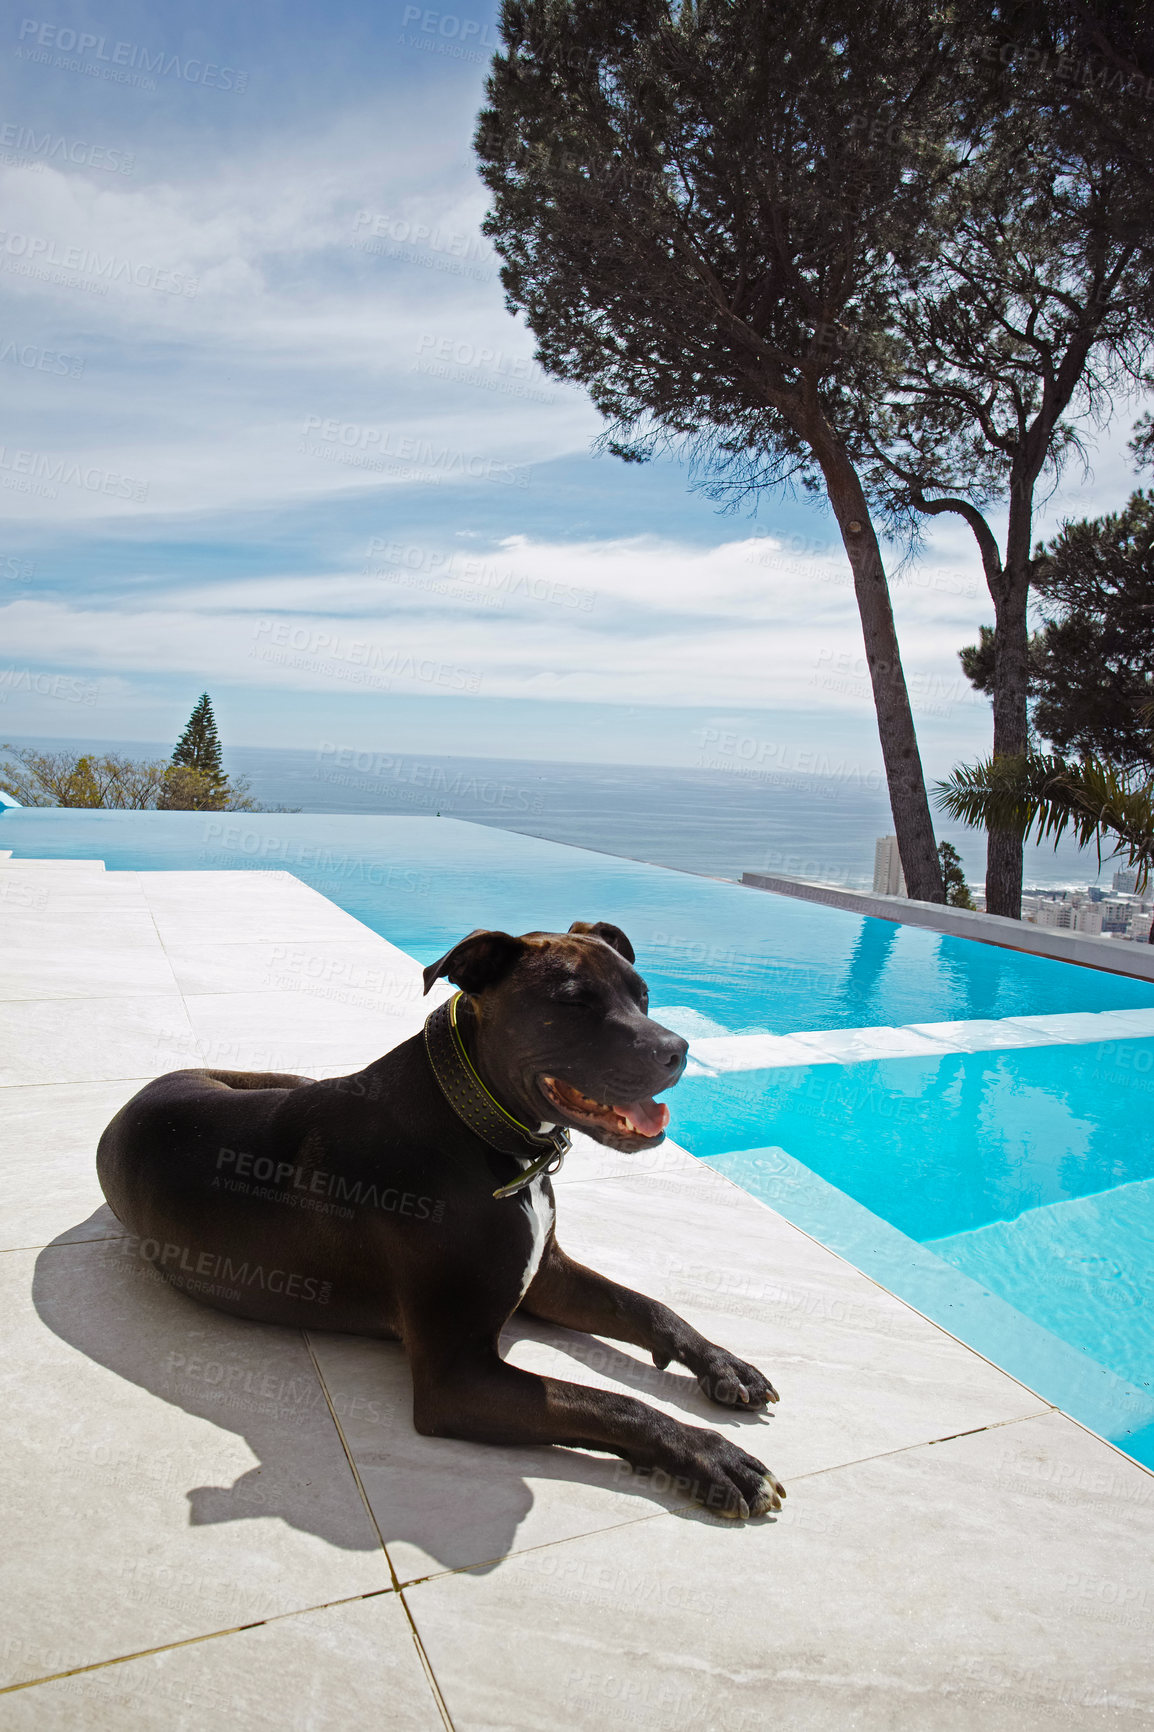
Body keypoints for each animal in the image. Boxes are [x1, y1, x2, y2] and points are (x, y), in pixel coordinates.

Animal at [98, 921, 783, 1517]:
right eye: (573, 1001)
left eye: (642, 995)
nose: (678, 1050)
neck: (481, 1125)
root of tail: (143, 1093)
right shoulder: (458, 1378)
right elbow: (611, 1403)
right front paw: (712, 1458)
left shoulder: (545, 1275)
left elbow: (647, 1307)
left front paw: (724, 1363)